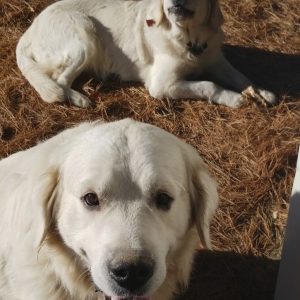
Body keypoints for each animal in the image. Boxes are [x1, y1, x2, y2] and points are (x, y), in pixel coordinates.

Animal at [15, 0, 276, 108]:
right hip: (84, 34)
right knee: (58, 82)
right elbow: (207, 85)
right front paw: (232, 98)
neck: (188, 37)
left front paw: (262, 92)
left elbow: (241, 77)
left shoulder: (215, 60)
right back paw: (79, 99)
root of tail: (29, 29)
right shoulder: (161, 86)